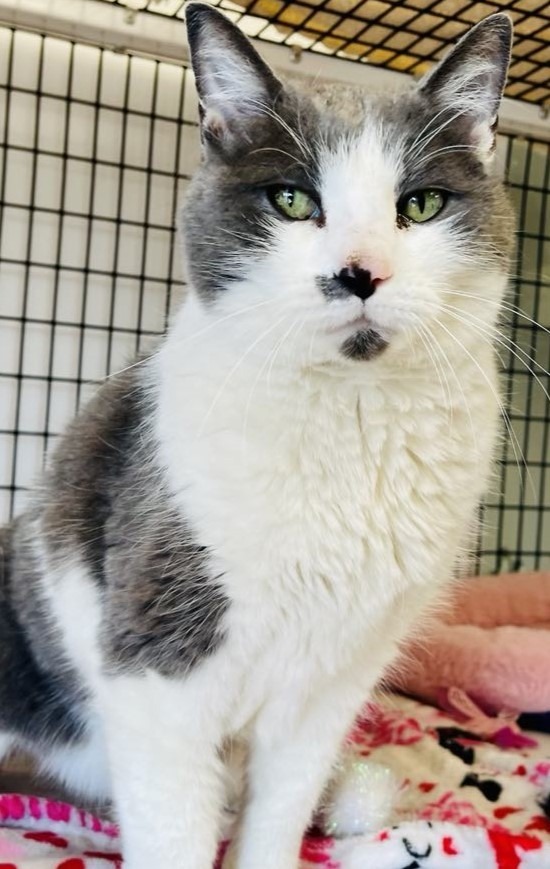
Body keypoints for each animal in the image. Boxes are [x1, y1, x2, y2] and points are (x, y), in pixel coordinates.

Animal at [0, 6, 516, 868]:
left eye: (420, 205)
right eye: (291, 198)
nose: (359, 271)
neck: (348, 420)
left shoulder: (333, 686)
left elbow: (279, 810)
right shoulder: (157, 667)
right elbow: (174, 828)